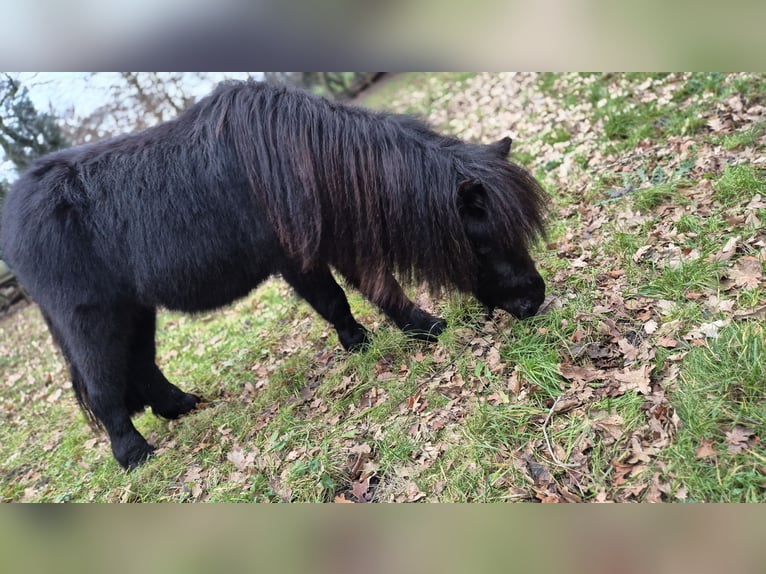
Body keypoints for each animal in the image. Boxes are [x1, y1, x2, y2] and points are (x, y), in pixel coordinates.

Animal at [3, 81, 548, 470]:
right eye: (483, 242)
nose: (534, 301)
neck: (298, 157)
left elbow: (359, 293)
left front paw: (377, 338)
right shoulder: (300, 258)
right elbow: (348, 294)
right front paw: (417, 330)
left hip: (135, 309)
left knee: (141, 365)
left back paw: (181, 405)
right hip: (92, 320)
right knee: (104, 387)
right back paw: (135, 455)